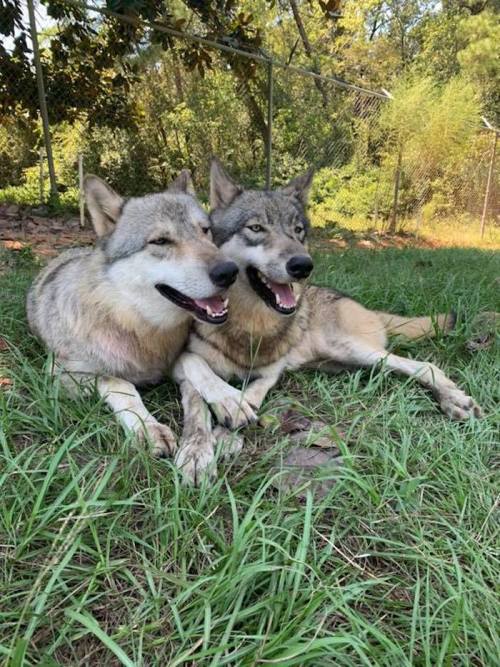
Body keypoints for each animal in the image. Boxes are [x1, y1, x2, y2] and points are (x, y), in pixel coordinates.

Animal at [27, 170, 241, 456]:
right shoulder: (58, 375)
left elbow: (196, 362)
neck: (140, 327)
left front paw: (228, 397)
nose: (229, 271)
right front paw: (149, 429)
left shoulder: (171, 360)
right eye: (160, 241)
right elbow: (119, 383)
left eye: (205, 230)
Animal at [173, 159, 482, 483]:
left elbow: (252, 393)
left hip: (351, 349)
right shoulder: (185, 366)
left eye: (298, 231)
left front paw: (229, 427)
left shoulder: (272, 372)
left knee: (424, 365)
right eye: (256, 228)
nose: (302, 265)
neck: (250, 323)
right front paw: (197, 453)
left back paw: (454, 400)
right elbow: (197, 409)